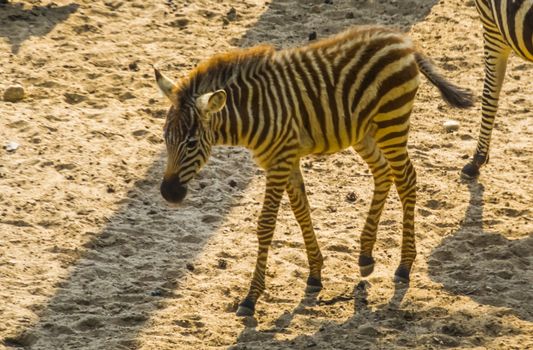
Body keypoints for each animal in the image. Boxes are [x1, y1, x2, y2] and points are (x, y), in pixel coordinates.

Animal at [153, 25, 470, 318]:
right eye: (165, 138)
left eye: (191, 142)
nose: (168, 194)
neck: (253, 112)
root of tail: (404, 41)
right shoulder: (285, 158)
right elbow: (301, 210)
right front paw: (315, 274)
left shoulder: (279, 160)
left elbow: (266, 225)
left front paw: (251, 298)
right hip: (364, 131)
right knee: (383, 173)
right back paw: (366, 256)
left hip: (392, 122)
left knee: (406, 179)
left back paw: (404, 266)